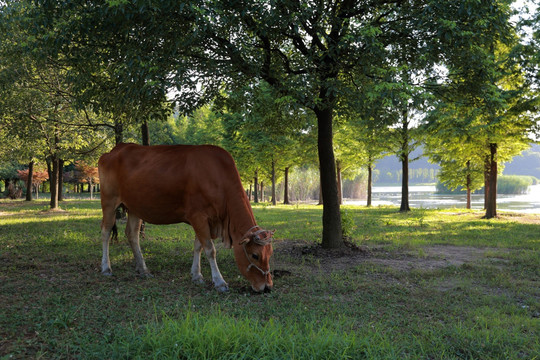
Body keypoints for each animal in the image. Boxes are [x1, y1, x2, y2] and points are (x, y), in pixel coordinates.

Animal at [97, 143, 274, 292]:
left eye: (270, 253)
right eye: (255, 255)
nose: (267, 286)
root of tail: (115, 149)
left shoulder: (207, 220)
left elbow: (198, 246)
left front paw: (196, 275)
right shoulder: (198, 216)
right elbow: (210, 249)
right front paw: (219, 281)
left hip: (135, 207)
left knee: (132, 235)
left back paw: (143, 269)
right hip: (109, 200)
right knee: (105, 232)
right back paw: (106, 268)